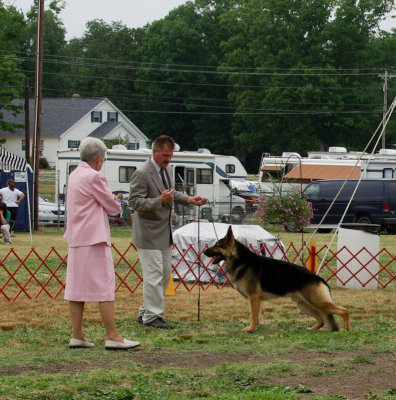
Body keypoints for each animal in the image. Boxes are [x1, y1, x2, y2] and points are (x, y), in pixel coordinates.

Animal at [204, 227, 350, 332]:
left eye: (217, 245)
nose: (204, 252)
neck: (240, 260)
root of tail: (320, 278)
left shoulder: (254, 298)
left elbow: (254, 317)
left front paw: (251, 329)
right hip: (303, 305)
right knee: (321, 319)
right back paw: (312, 329)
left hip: (319, 303)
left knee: (344, 311)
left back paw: (346, 329)